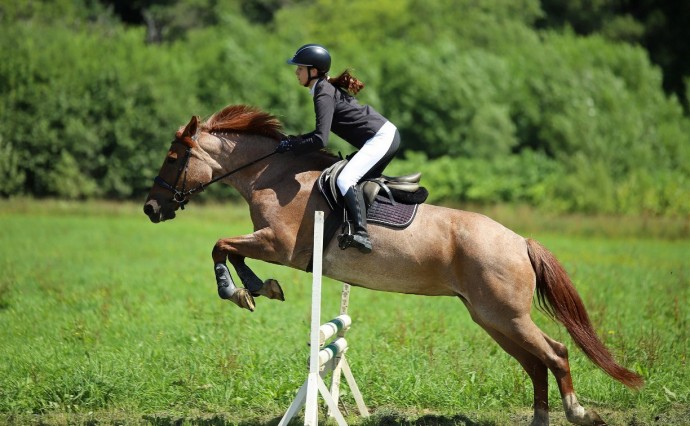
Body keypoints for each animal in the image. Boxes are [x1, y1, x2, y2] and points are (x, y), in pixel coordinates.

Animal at [142, 105, 644, 424]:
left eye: (173, 157)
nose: (151, 208)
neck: (276, 175)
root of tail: (520, 241)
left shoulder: (280, 245)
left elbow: (221, 246)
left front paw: (240, 290)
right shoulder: (272, 246)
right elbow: (230, 249)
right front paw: (257, 289)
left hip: (507, 315)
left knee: (554, 353)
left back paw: (578, 411)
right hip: (491, 317)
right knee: (535, 363)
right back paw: (541, 419)